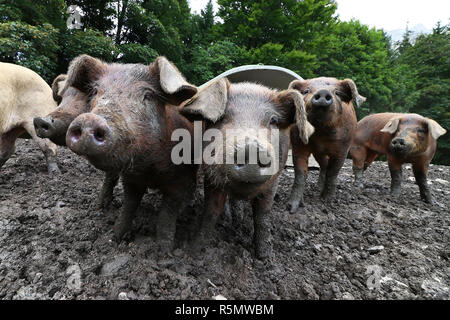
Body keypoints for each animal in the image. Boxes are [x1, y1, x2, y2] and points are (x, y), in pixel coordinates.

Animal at [62, 55, 197, 254]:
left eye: (148, 95)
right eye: (95, 91)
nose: (90, 120)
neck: (148, 169)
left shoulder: (178, 178)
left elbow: (167, 214)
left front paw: (165, 251)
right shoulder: (131, 178)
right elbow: (129, 205)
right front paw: (115, 238)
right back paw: (100, 207)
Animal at [179, 78, 312, 260]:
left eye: (273, 120)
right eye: (222, 117)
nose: (251, 148)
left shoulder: (273, 181)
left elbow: (262, 214)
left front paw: (264, 258)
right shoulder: (211, 177)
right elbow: (211, 211)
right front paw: (193, 251)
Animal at [286, 76, 368, 214]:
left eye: (337, 93)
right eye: (306, 91)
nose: (323, 92)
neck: (321, 133)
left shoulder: (343, 150)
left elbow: (333, 172)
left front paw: (327, 201)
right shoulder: (298, 144)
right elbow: (300, 173)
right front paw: (291, 208)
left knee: (326, 168)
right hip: (317, 153)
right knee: (323, 165)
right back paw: (318, 187)